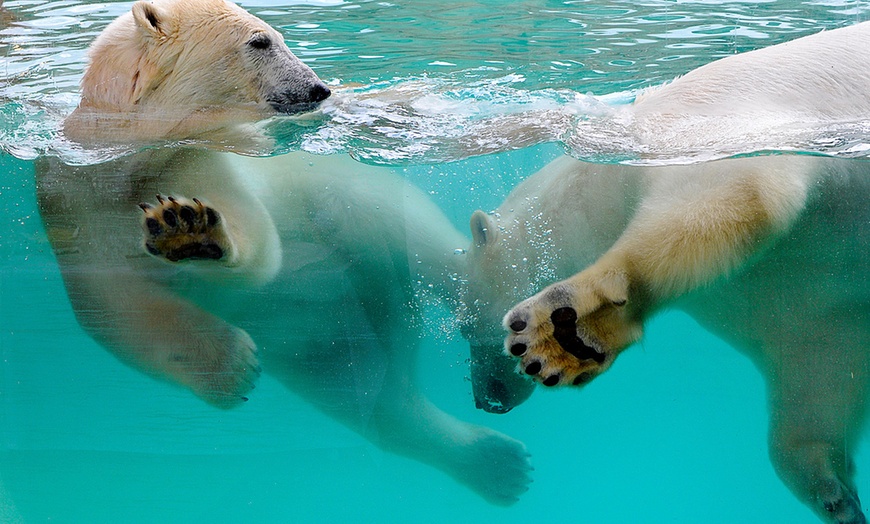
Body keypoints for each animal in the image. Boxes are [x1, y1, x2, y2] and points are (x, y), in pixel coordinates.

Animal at [37, 0, 532, 506]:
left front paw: (190, 228)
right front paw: (233, 367)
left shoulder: (202, 158)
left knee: (433, 251)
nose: (320, 88)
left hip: (362, 203)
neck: (130, 160)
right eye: (261, 41)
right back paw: (496, 463)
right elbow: (114, 309)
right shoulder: (75, 201)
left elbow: (256, 239)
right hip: (319, 340)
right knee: (374, 401)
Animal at [466, 23, 870, 520]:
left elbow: (736, 192)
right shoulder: (800, 295)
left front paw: (565, 331)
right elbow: (820, 367)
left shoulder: (707, 133)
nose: (487, 401)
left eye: (467, 327)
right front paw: (835, 495)